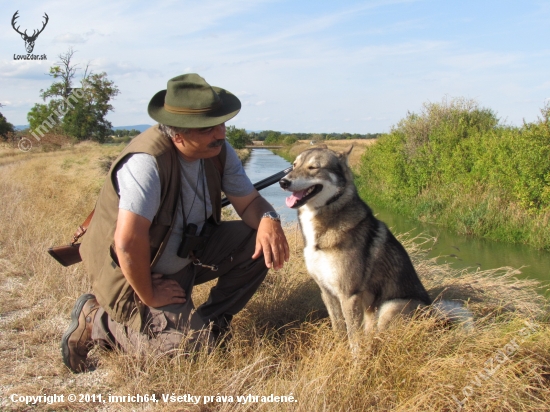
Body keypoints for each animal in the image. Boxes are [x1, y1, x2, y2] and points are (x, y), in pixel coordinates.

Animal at [280, 146, 474, 350]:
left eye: (313, 167)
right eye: (294, 165)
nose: (283, 182)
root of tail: (434, 317)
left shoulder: (348, 295)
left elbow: (353, 337)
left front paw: (355, 358)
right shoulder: (327, 292)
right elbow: (339, 328)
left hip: (389, 307)